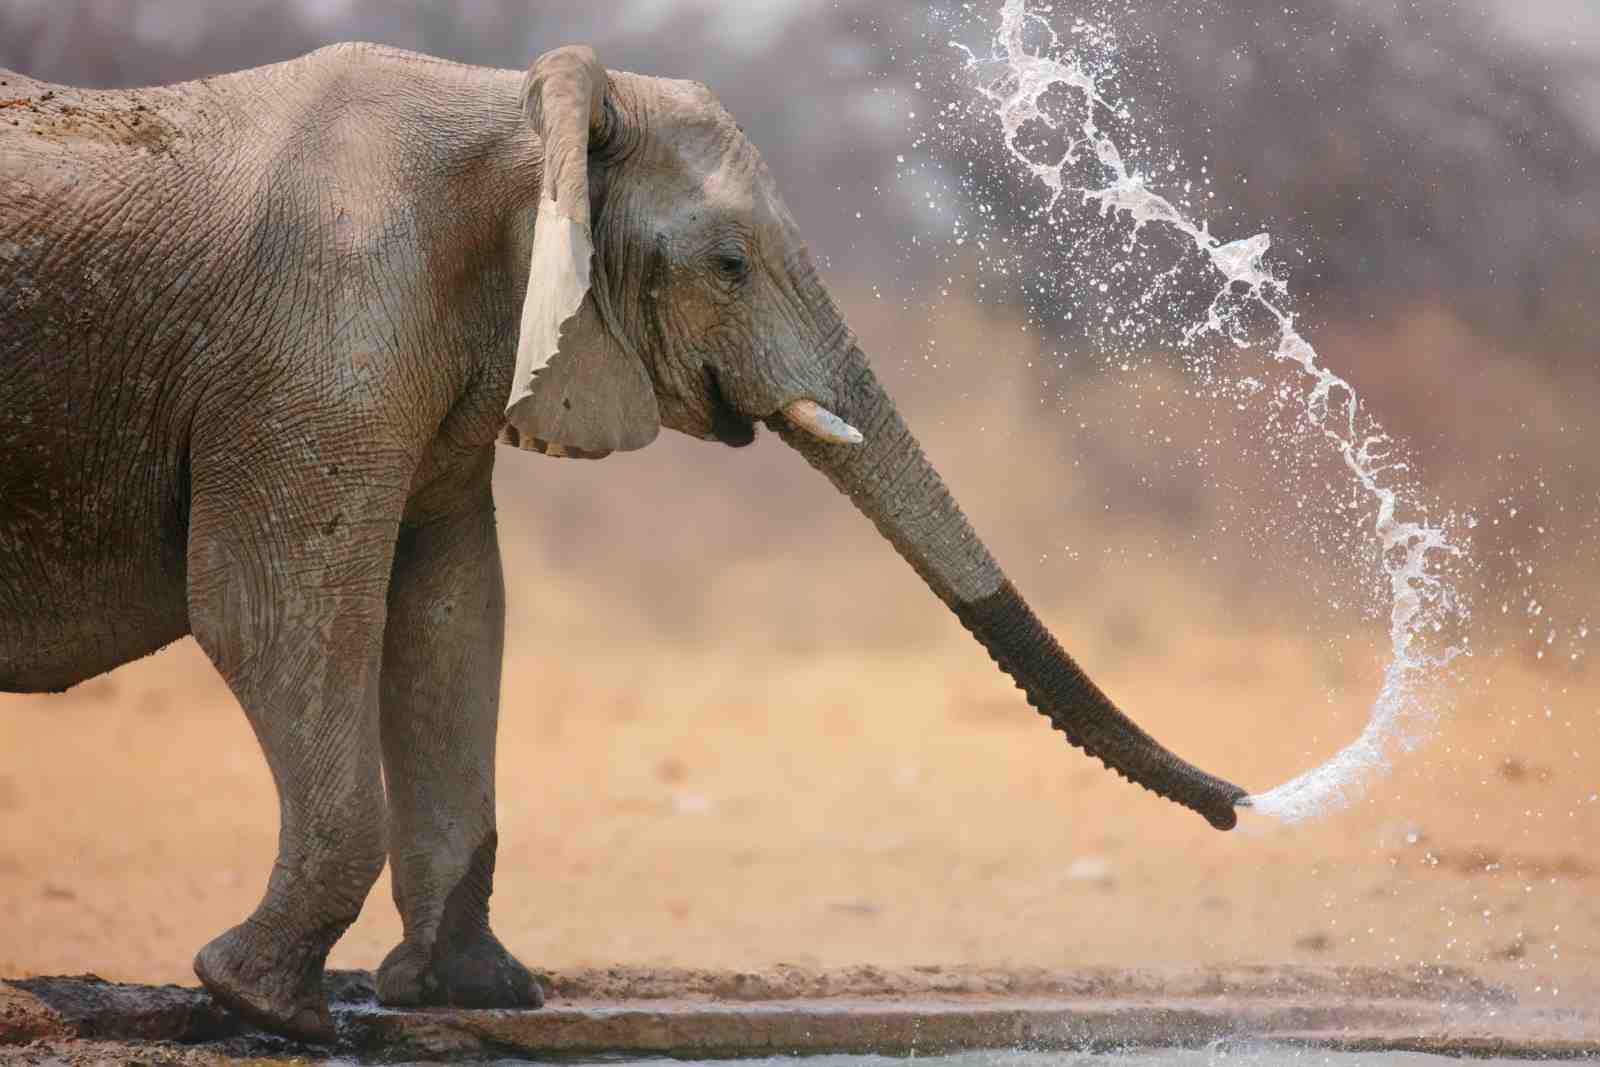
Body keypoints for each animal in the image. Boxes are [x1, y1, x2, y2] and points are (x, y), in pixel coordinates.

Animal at [0, 43, 1248, 1040]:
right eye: (730, 265)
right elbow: (274, 611)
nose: (1240, 805)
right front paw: (267, 1006)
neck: (522, 107)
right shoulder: (318, 342)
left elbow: (452, 609)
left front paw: (478, 994)